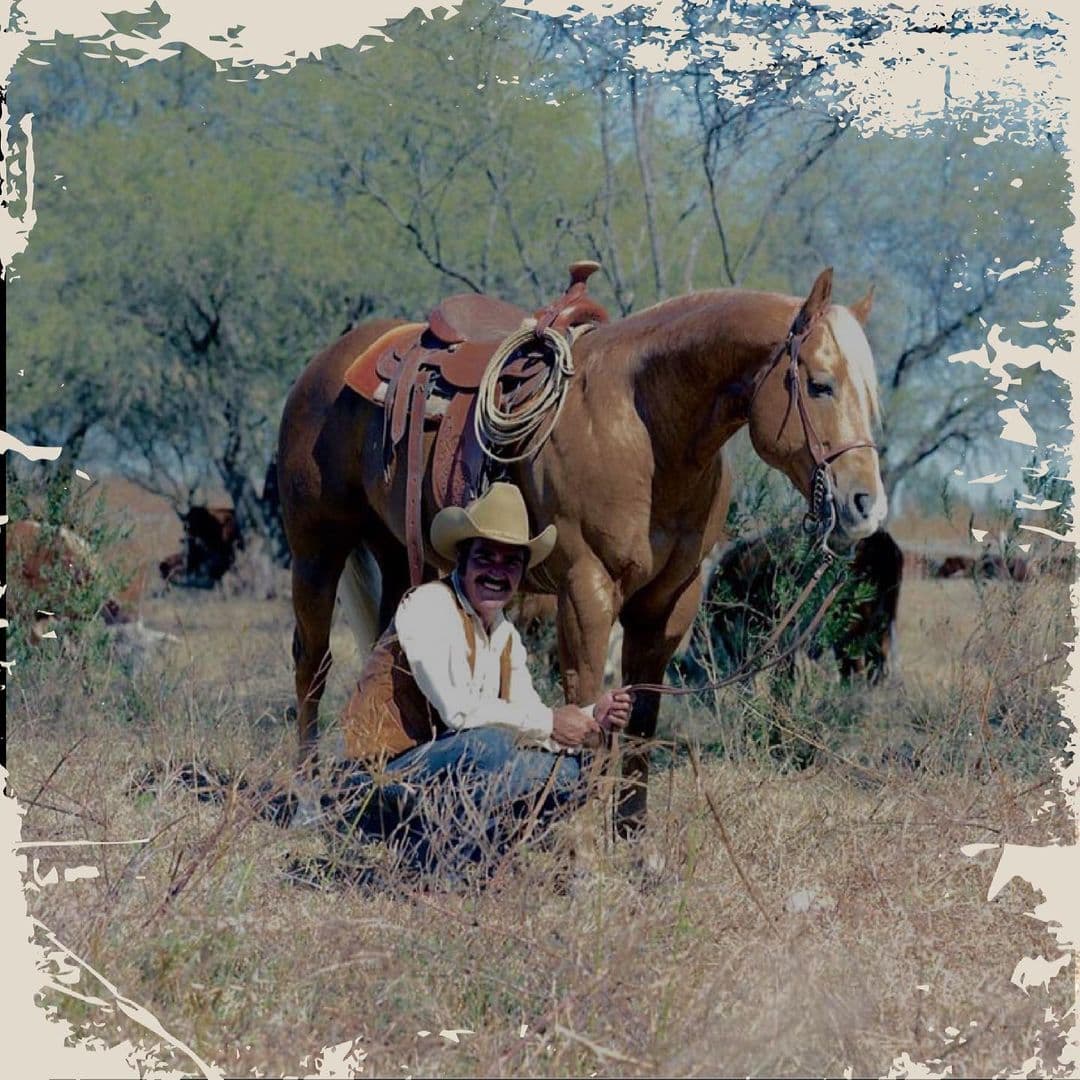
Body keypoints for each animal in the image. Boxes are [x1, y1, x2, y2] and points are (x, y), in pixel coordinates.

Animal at [277, 267, 885, 833]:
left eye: (870, 397)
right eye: (820, 385)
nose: (867, 505)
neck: (643, 428)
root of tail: (331, 362)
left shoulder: (667, 604)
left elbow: (640, 716)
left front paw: (633, 841)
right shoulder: (585, 593)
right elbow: (587, 704)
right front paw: (583, 841)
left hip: (396, 552)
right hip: (316, 547)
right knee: (313, 662)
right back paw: (306, 799)